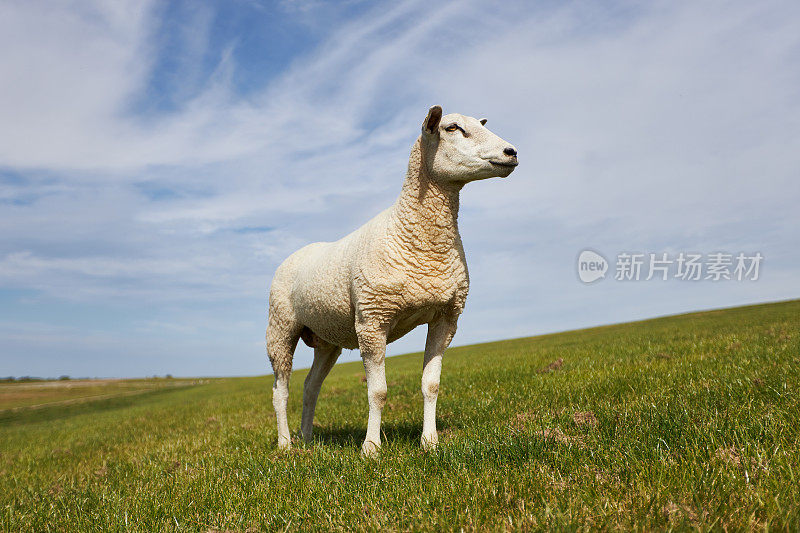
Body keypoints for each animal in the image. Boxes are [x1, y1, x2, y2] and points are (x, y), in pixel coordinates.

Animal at [268, 106, 520, 456]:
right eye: (452, 128)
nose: (511, 152)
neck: (412, 232)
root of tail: (298, 252)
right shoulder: (373, 321)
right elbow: (378, 392)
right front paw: (371, 448)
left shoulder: (446, 318)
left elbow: (431, 385)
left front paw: (430, 442)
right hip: (280, 328)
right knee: (281, 390)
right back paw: (285, 444)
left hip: (327, 337)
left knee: (310, 386)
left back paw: (306, 438)